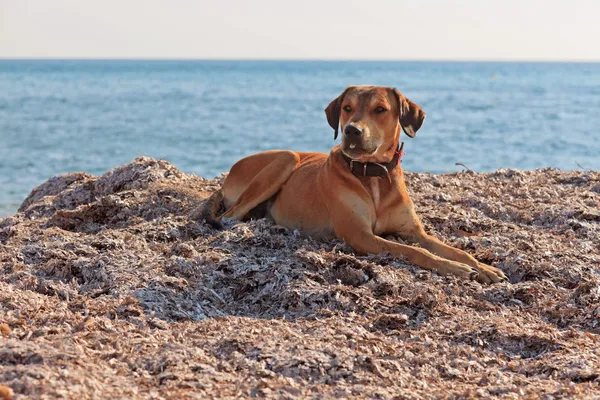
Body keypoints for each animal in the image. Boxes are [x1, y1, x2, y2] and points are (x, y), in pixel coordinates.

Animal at [202, 85, 506, 284]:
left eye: (380, 109)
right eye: (347, 108)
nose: (351, 130)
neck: (374, 173)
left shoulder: (414, 231)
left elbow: (452, 249)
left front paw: (483, 267)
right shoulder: (361, 236)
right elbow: (416, 251)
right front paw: (456, 269)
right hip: (286, 158)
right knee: (230, 217)